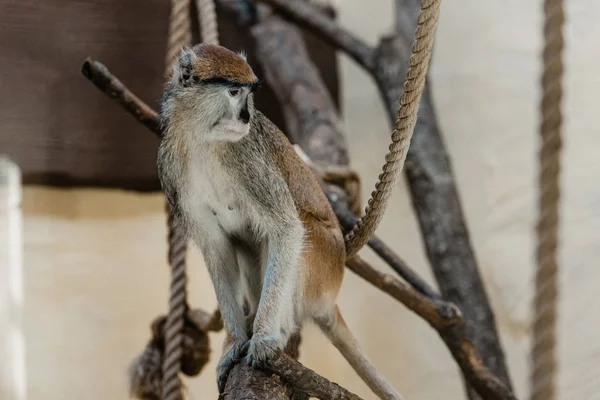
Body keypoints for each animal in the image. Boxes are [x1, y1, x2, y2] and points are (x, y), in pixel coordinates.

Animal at [157, 44, 406, 400]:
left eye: (249, 95)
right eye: (234, 93)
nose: (245, 117)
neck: (203, 140)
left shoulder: (248, 159)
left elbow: (286, 229)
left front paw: (262, 338)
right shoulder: (171, 168)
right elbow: (217, 248)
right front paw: (234, 342)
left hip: (324, 265)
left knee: (296, 229)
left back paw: (282, 325)